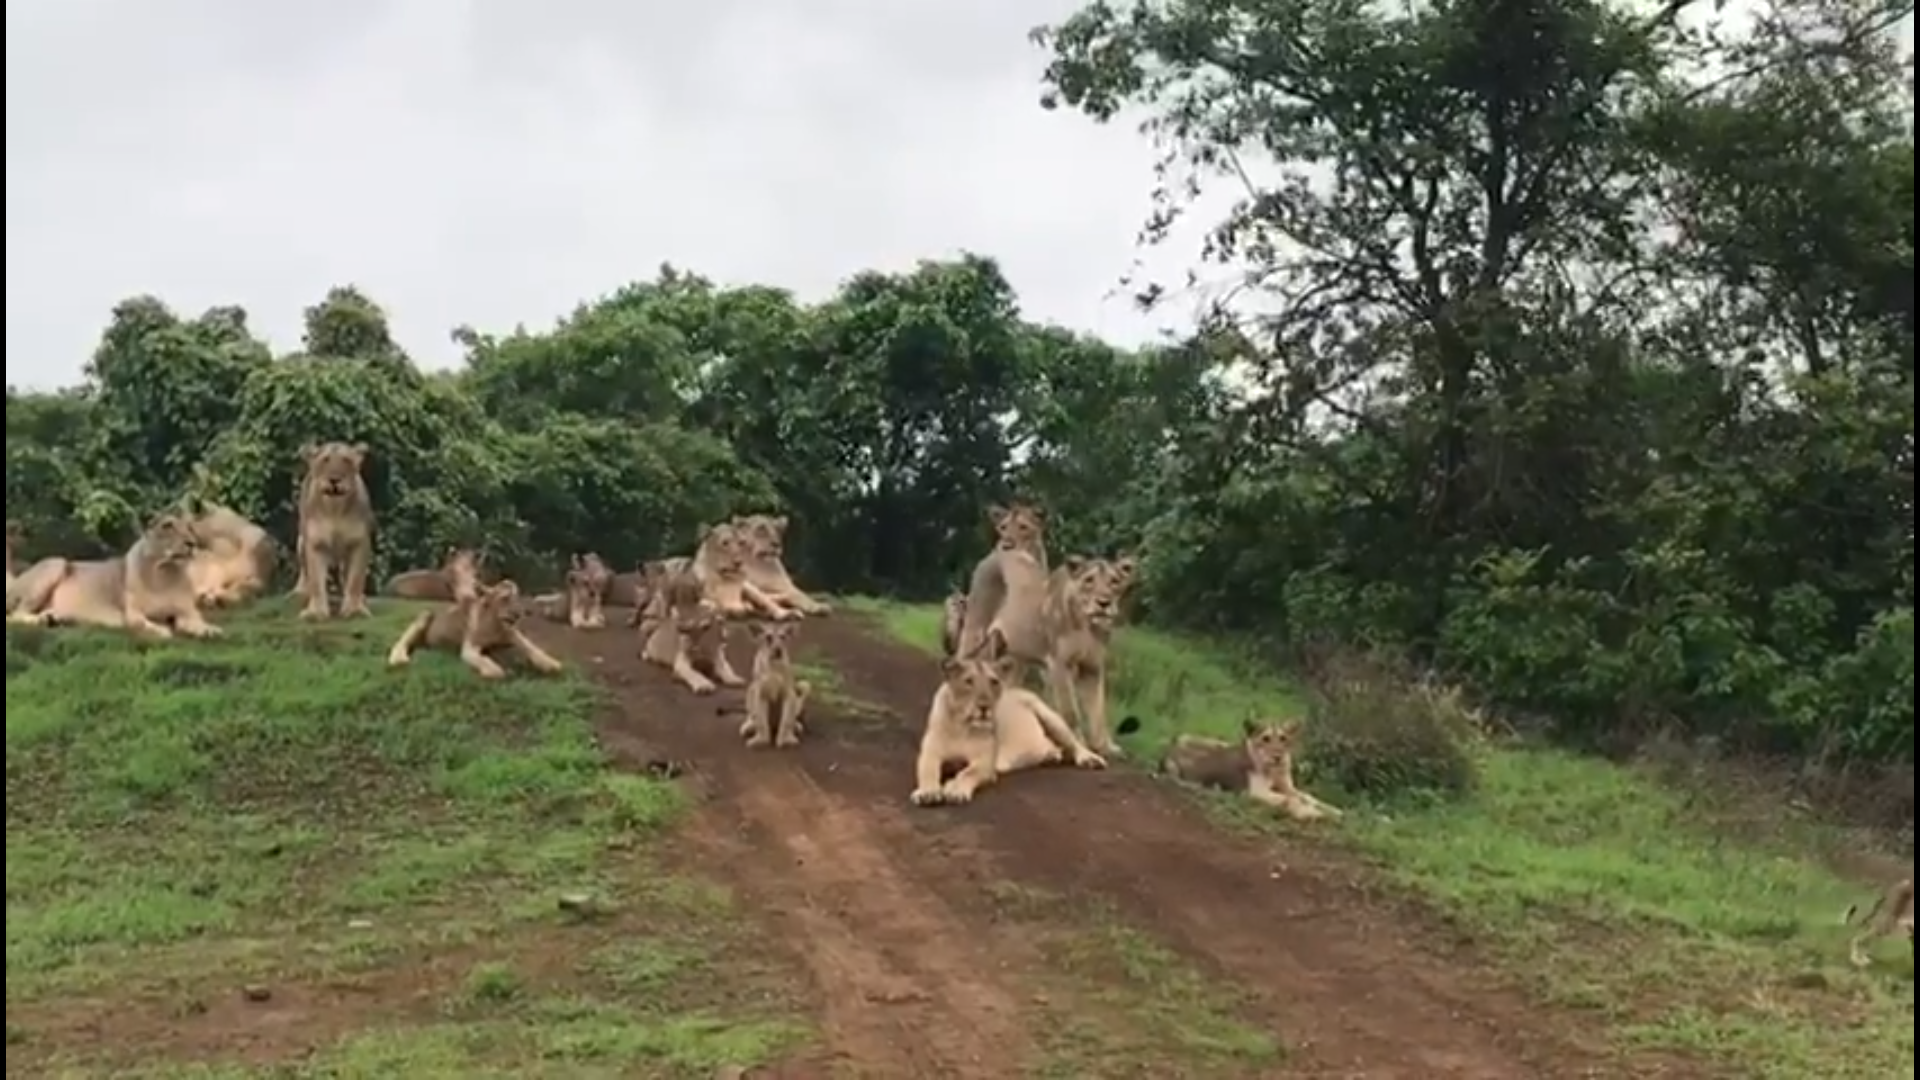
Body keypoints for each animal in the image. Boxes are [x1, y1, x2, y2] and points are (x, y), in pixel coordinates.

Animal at [5, 507, 224, 634]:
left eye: (190, 528)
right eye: (167, 526)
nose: (192, 543)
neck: (165, 574)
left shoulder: (187, 613)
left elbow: (197, 623)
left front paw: (210, 630)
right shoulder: (132, 614)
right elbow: (142, 624)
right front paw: (161, 631)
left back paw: (51, 618)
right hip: (56, 562)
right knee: (14, 615)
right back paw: (39, 621)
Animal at [293, 440, 376, 622]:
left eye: (346, 460)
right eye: (325, 460)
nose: (334, 480)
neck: (334, 509)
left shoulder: (359, 543)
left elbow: (355, 579)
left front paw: (354, 610)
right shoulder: (314, 544)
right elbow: (316, 581)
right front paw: (316, 612)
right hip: (300, 543)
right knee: (304, 572)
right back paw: (300, 592)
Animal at [384, 576, 560, 676]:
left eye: (517, 597)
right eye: (504, 598)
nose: (520, 613)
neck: (496, 624)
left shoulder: (513, 634)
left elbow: (532, 647)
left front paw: (551, 663)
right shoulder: (469, 648)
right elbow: (494, 670)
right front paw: (498, 670)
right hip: (425, 614)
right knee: (402, 641)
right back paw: (398, 658)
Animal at [906, 622, 1105, 807]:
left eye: (994, 682)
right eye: (968, 681)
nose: (984, 707)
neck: (961, 725)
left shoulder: (985, 763)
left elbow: (967, 772)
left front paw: (954, 789)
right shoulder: (930, 754)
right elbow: (927, 771)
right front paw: (927, 792)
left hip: (1050, 717)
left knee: (1075, 743)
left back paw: (1090, 759)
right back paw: (1051, 755)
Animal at [1159, 711, 1344, 818]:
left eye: (1283, 738)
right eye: (1266, 739)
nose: (1278, 756)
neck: (1272, 771)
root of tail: (1170, 747)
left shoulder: (1288, 787)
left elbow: (1308, 796)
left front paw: (1335, 810)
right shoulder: (1253, 792)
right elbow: (1289, 799)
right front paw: (1310, 812)